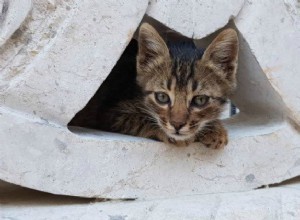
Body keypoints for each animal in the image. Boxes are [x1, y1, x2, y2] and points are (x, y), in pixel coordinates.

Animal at [90, 23, 238, 149]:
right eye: (162, 97)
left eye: (200, 100)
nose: (177, 125)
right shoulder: (109, 113)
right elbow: (138, 118)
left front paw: (215, 129)